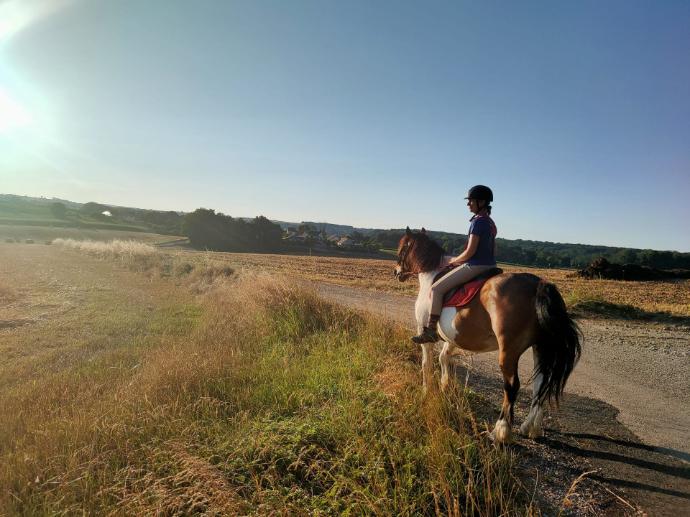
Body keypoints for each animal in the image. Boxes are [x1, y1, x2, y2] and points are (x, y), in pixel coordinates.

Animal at [394, 227, 581, 443]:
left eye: (402, 248)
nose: (396, 272)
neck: (431, 275)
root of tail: (538, 284)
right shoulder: (452, 337)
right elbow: (444, 358)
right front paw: (444, 386)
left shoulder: (423, 331)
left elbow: (427, 364)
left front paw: (426, 391)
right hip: (540, 347)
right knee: (540, 384)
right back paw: (530, 428)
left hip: (509, 351)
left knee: (512, 386)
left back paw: (500, 432)